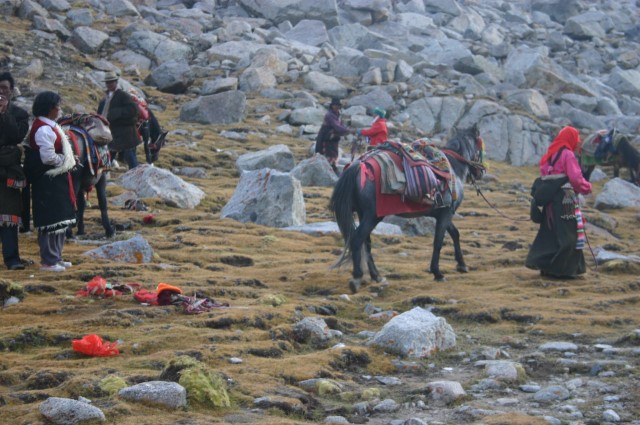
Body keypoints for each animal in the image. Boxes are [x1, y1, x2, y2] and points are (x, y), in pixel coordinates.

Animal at [330, 124, 484, 294]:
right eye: (479, 147)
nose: (481, 173)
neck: (453, 168)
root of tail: (359, 165)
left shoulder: (443, 213)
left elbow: (455, 234)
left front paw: (461, 265)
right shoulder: (446, 213)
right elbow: (438, 241)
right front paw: (437, 272)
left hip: (364, 214)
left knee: (366, 242)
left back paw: (377, 276)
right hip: (372, 216)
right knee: (357, 239)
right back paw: (357, 278)